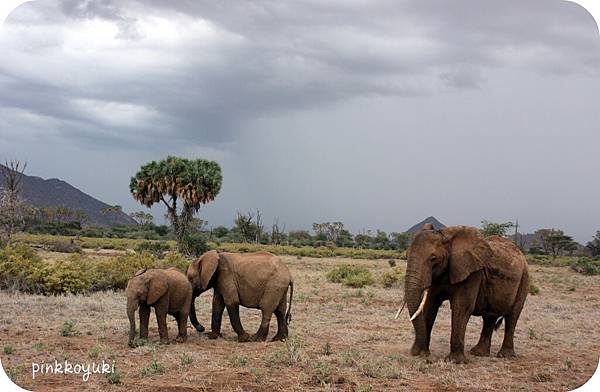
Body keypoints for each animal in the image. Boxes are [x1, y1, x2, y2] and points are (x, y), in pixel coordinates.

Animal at [398, 224, 528, 364]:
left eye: (433, 259)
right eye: (406, 255)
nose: (425, 357)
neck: (446, 237)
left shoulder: (472, 273)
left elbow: (461, 307)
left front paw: (454, 361)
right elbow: (430, 306)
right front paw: (421, 353)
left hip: (525, 278)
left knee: (512, 316)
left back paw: (504, 355)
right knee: (489, 317)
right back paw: (478, 353)